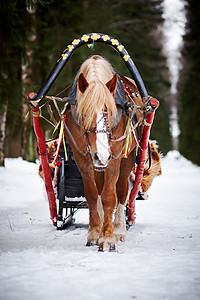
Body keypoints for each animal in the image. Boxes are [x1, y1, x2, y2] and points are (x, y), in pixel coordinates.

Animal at [62, 54, 144, 251]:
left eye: (109, 111)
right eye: (85, 113)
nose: (102, 155)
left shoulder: (113, 157)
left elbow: (109, 196)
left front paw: (107, 237)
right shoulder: (83, 158)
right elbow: (92, 194)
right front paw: (94, 233)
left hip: (126, 158)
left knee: (122, 190)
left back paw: (119, 229)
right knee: (99, 187)